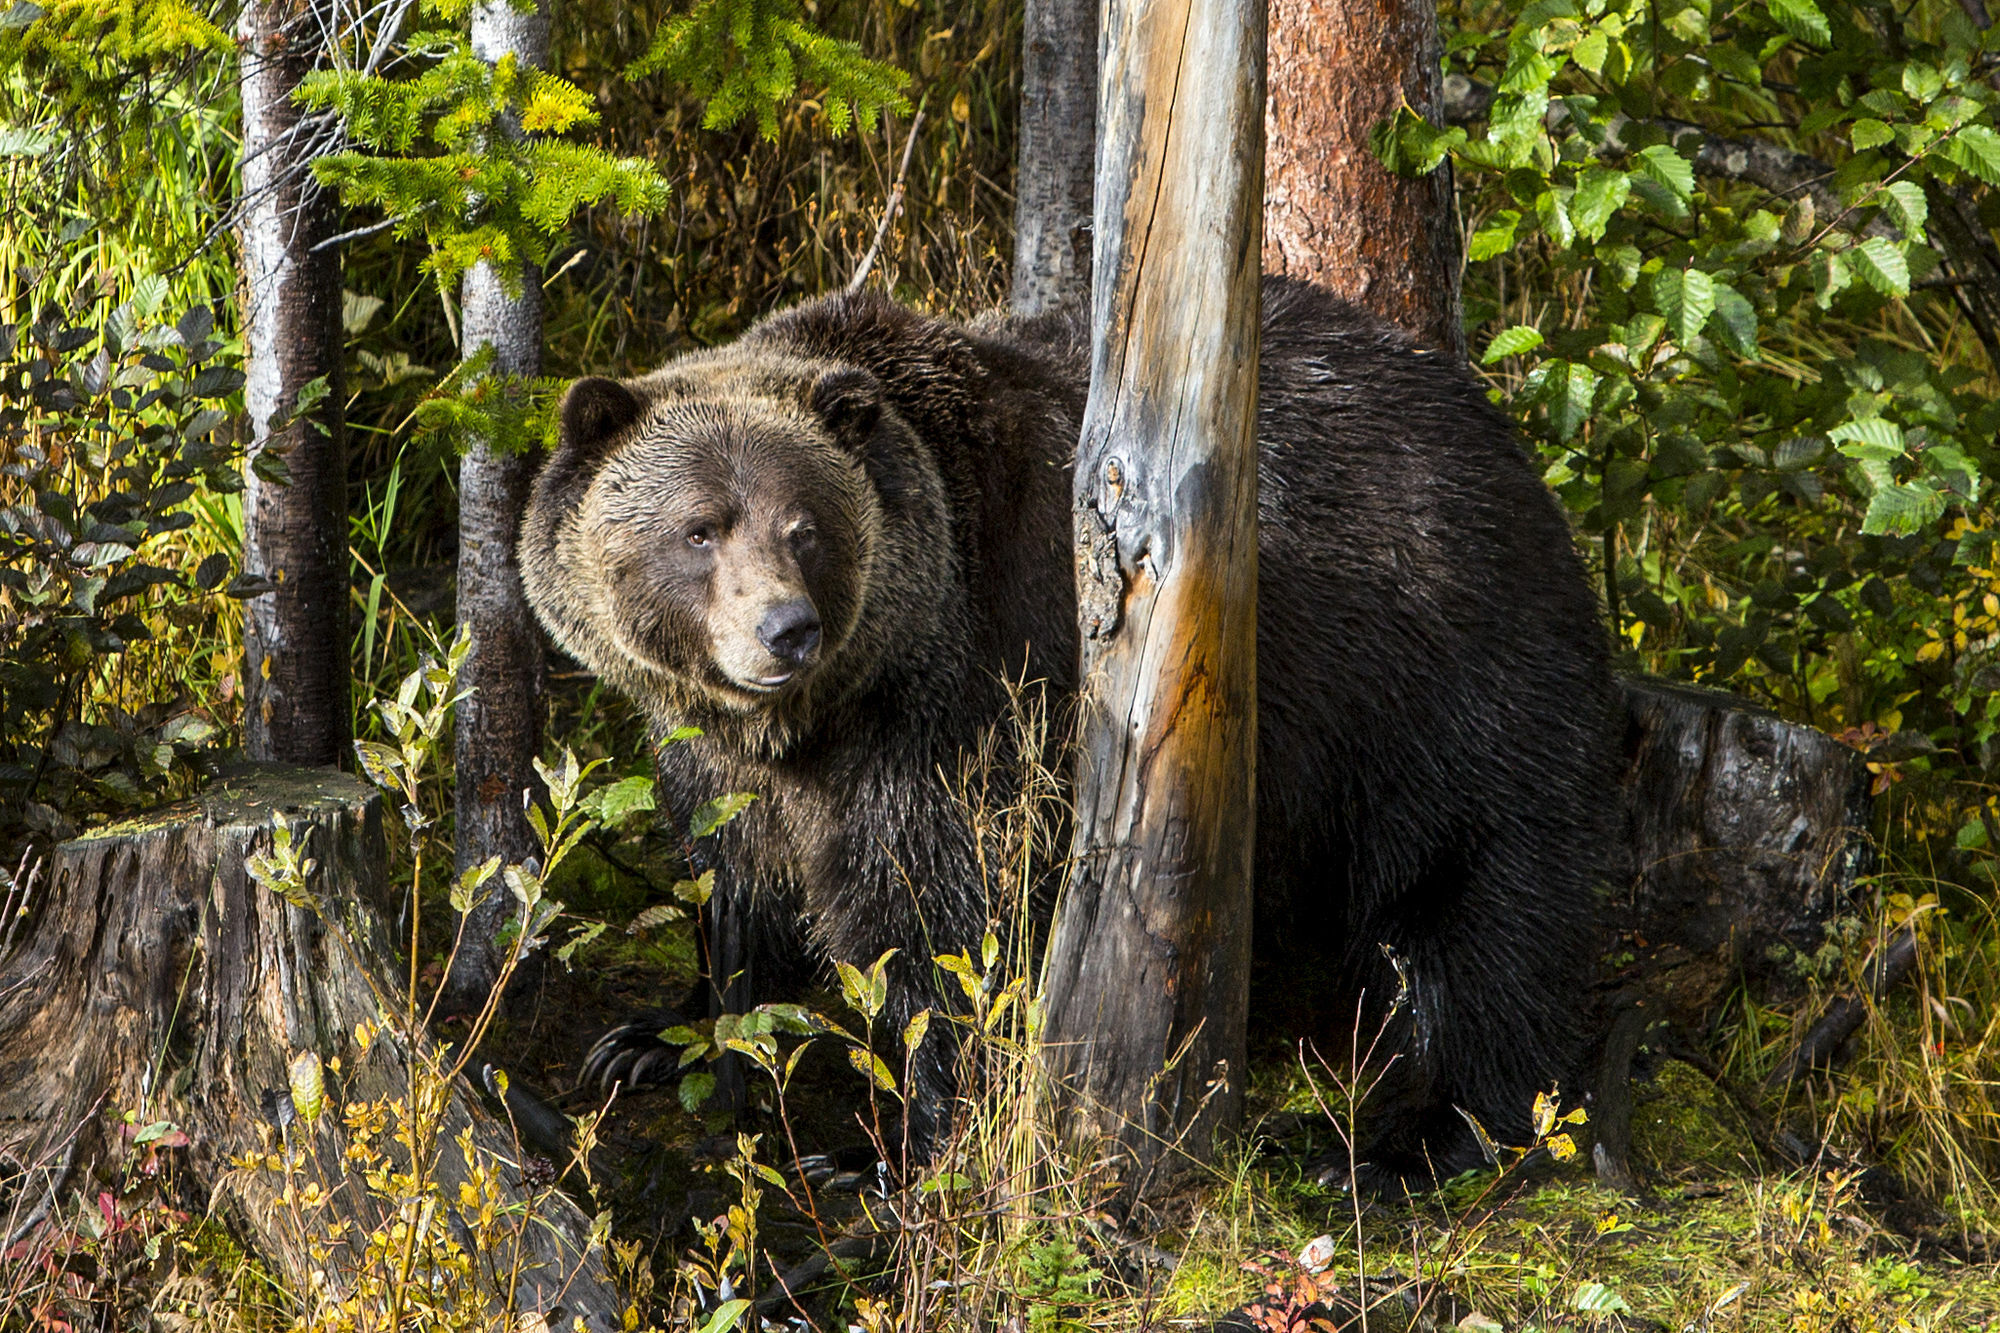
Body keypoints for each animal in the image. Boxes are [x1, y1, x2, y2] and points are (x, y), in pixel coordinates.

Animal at [524, 274, 1616, 1176]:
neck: (832, 710)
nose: (784, 629)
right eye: (699, 528)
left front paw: (887, 1147)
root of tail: (1504, 441)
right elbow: (734, 880)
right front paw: (647, 1039)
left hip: (1435, 679)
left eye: (805, 526)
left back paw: (1413, 1136)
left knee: (1481, 902)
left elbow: (948, 917)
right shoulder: (722, 759)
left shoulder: (974, 693)